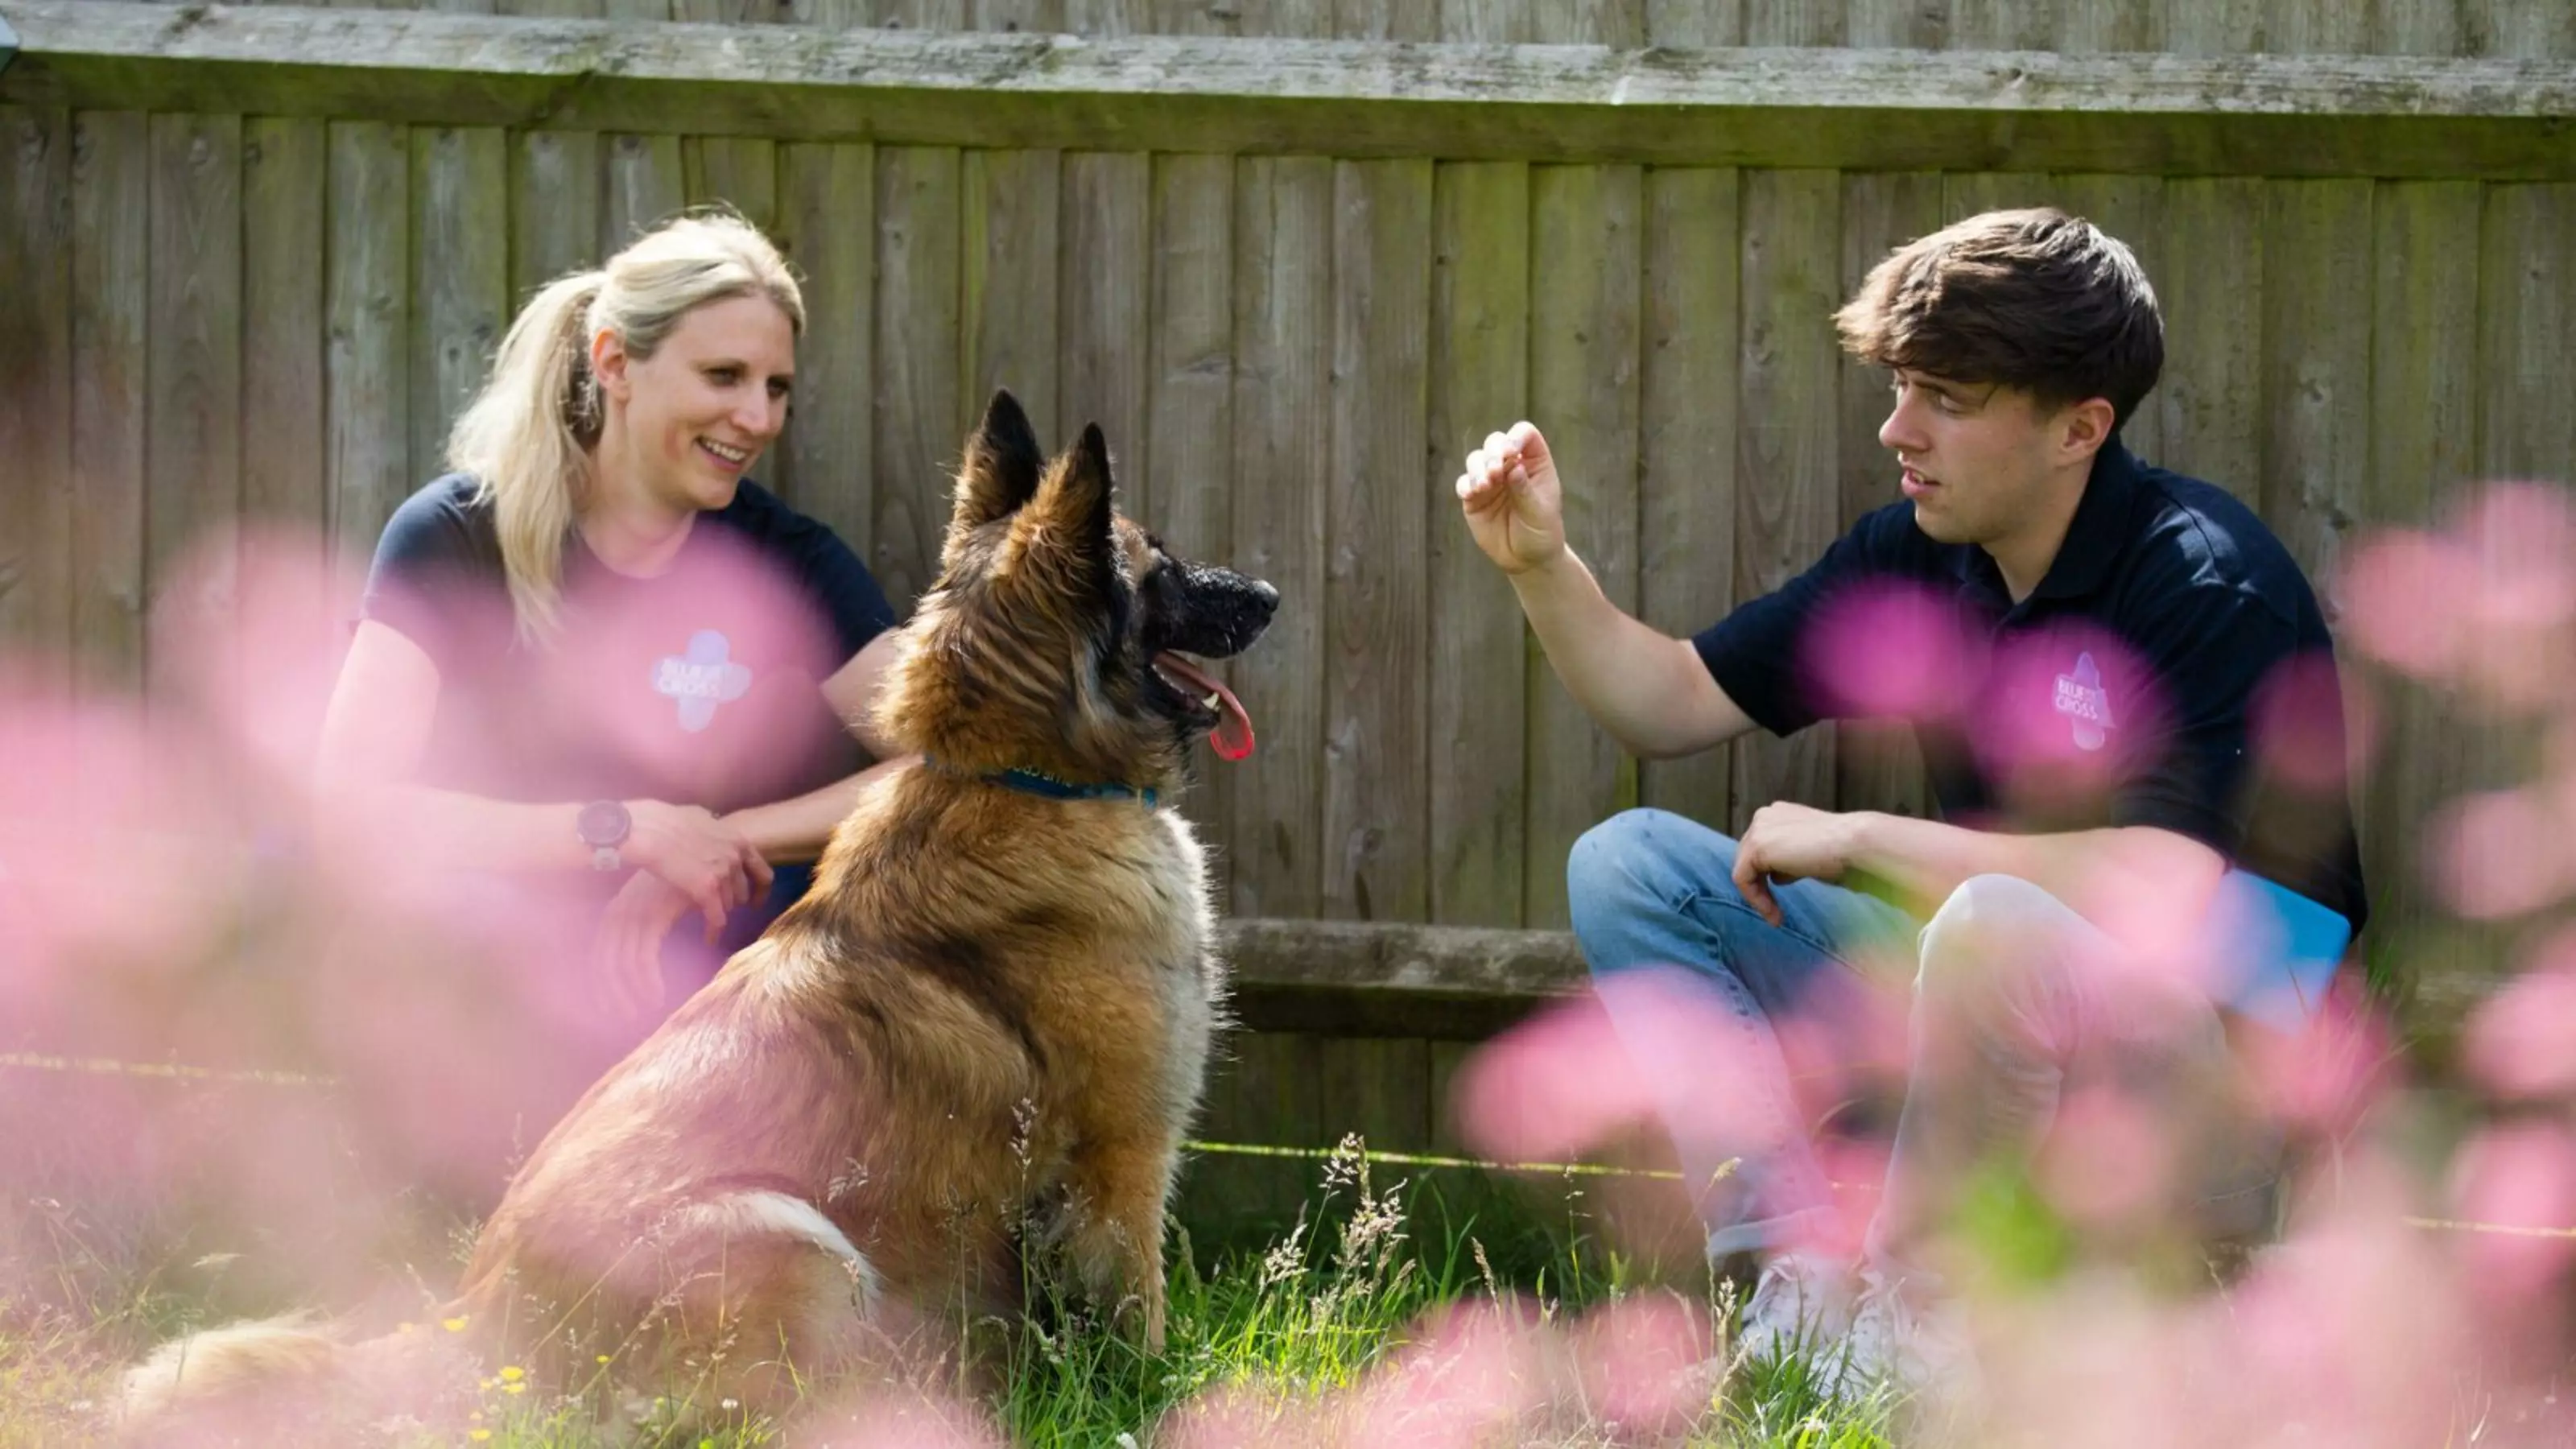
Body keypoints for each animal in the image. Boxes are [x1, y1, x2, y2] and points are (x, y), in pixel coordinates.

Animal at [121, 389, 1278, 1422]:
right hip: (795, 1240)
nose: (1267, 592)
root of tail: (476, 1333)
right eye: (1164, 567)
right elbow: (1139, 1309)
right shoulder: (1124, 1159)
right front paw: (1159, 1398)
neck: (1022, 777)